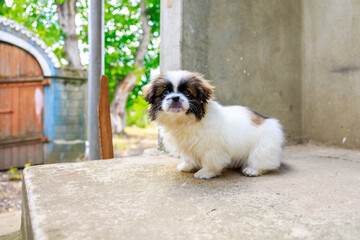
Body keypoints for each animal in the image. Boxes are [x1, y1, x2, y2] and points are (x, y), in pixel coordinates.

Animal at [143, 70, 284, 179]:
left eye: (187, 92)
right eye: (165, 92)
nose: (175, 97)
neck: (183, 120)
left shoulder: (212, 149)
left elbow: (209, 161)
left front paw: (205, 173)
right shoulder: (188, 147)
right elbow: (189, 158)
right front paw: (187, 166)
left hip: (262, 149)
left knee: (264, 163)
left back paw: (252, 170)